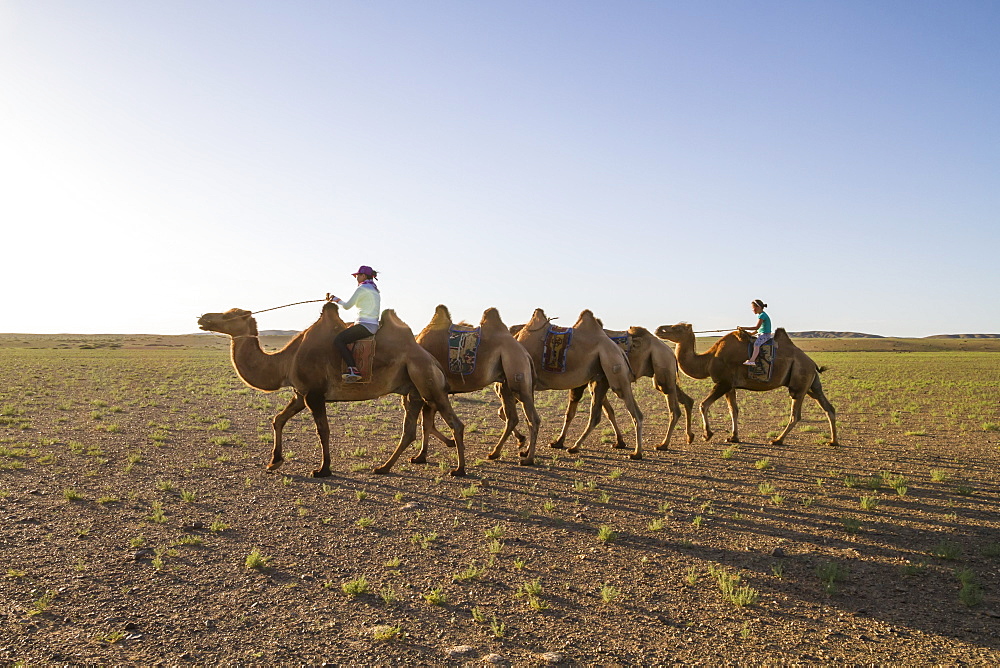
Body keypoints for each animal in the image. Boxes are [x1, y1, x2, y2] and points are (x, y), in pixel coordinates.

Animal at [196, 302, 468, 474]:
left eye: (229, 316)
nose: (202, 317)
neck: (285, 361)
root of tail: (431, 359)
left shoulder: (315, 395)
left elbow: (323, 431)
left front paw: (323, 469)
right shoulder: (301, 393)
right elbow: (278, 420)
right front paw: (274, 462)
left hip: (427, 380)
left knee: (455, 423)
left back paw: (459, 469)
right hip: (412, 389)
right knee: (409, 430)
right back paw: (383, 467)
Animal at [414, 306, 540, 462]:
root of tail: (525, 353)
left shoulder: (429, 388)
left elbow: (426, 424)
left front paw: (421, 455)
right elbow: (427, 424)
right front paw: (423, 455)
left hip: (517, 373)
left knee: (533, 419)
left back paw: (528, 459)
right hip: (506, 384)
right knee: (513, 418)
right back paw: (497, 452)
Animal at [512, 310, 644, 456]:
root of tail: (620, 351)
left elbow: (514, 414)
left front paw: (522, 444)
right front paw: (523, 444)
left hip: (615, 369)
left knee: (635, 412)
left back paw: (637, 453)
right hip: (601, 378)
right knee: (596, 415)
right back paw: (574, 446)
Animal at [656, 322, 836, 446]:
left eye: (677, 328)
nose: (659, 329)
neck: (708, 359)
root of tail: (812, 363)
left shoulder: (724, 382)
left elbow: (703, 405)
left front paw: (707, 434)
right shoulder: (731, 386)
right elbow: (733, 410)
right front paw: (733, 437)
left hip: (799, 383)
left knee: (796, 414)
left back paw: (777, 440)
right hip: (812, 385)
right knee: (828, 408)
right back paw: (833, 441)